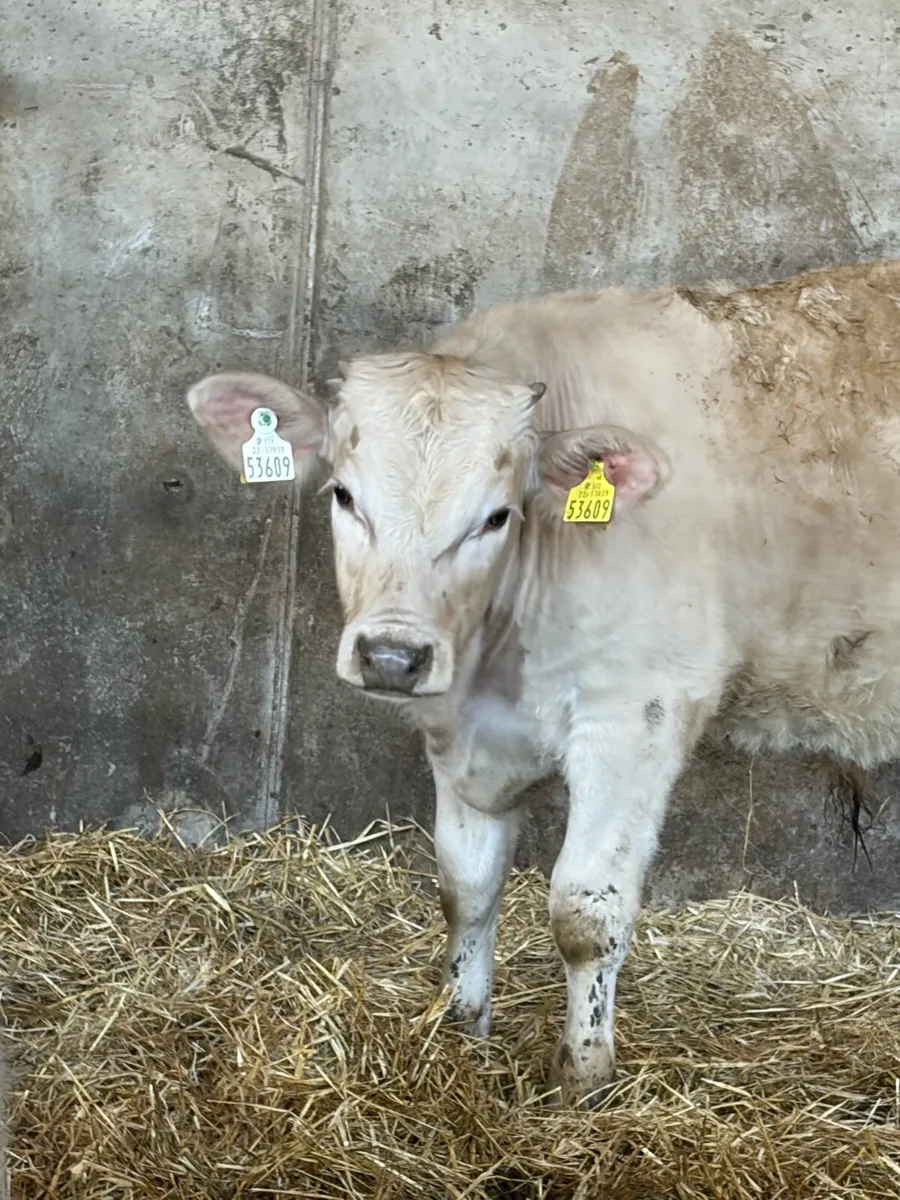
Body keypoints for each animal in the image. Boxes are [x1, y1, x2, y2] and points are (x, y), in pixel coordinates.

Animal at [187, 258, 900, 1107]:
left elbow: (584, 912)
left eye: (497, 517)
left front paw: (583, 1078)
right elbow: (465, 887)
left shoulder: (637, 712)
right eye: (344, 495)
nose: (393, 655)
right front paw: (461, 1032)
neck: (500, 663)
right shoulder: (464, 735)